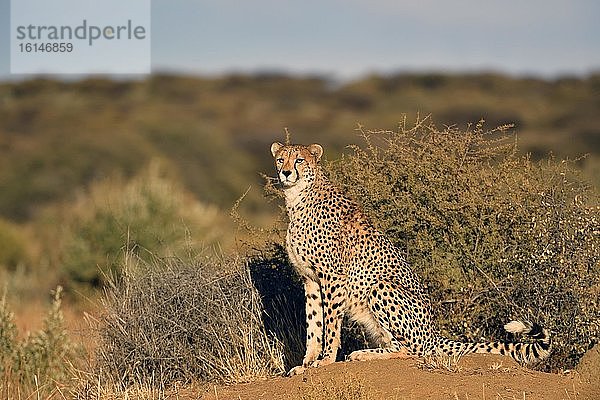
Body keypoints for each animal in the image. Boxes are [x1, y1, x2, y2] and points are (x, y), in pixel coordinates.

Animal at [270, 141, 552, 376]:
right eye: (281, 159)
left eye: (299, 160)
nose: (286, 173)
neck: (299, 198)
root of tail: (433, 333)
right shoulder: (310, 279)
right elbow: (314, 324)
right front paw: (307, 363)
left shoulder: (333, 276)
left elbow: (329, 323)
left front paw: (326, 360)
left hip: (381, 287)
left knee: (411, 350)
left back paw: (363, 354)